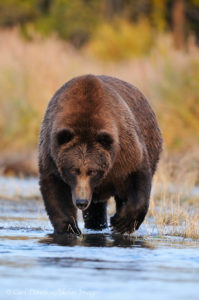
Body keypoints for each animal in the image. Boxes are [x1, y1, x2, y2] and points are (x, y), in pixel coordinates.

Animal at [38, 74, 162, 234]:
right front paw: (69, 228)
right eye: (73, 170)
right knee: (95, 208)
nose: (81, 201)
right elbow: (56, 191)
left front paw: (121, 222)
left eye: (92, 171)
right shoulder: (51, 156)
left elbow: (137, 177)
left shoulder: (125, 152)